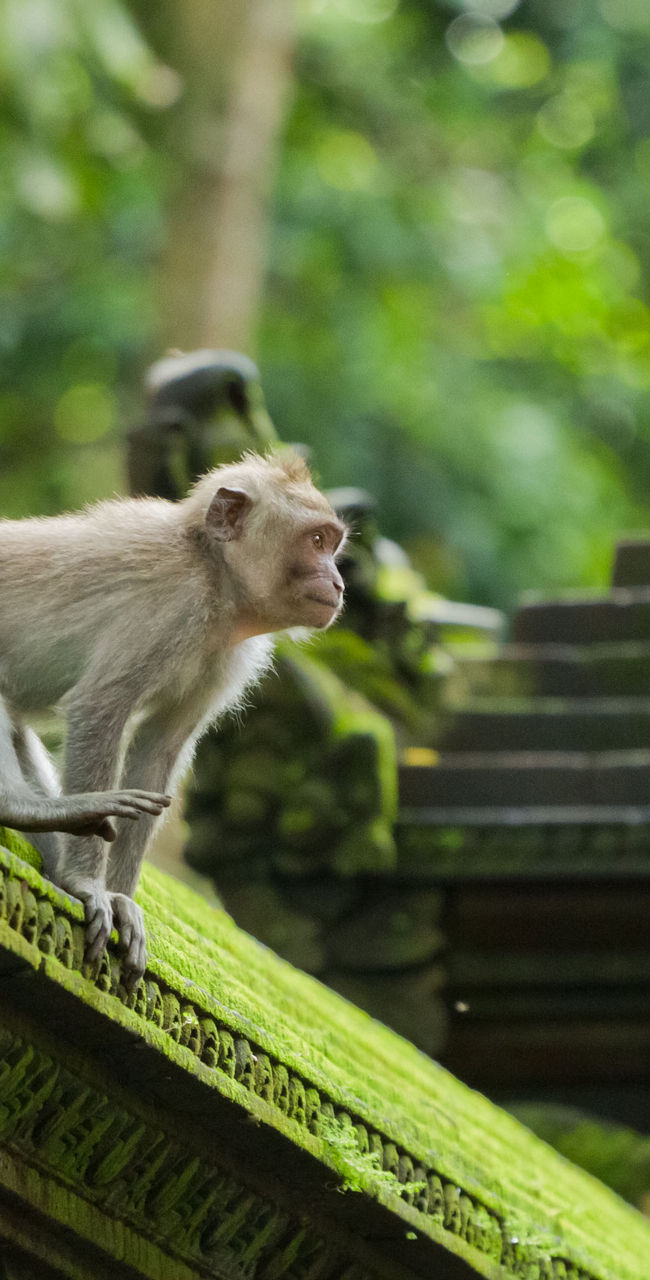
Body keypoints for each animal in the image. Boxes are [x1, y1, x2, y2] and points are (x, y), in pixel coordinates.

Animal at [0, 451, 346, 983]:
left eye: (332, 542)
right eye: (316, 541)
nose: (339, 582)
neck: (214, 576)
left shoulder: (224, 655)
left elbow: (159, 745)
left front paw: (120, 898)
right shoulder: (172, 605)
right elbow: (101, 705)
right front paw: (86, 884)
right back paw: (25, 809)